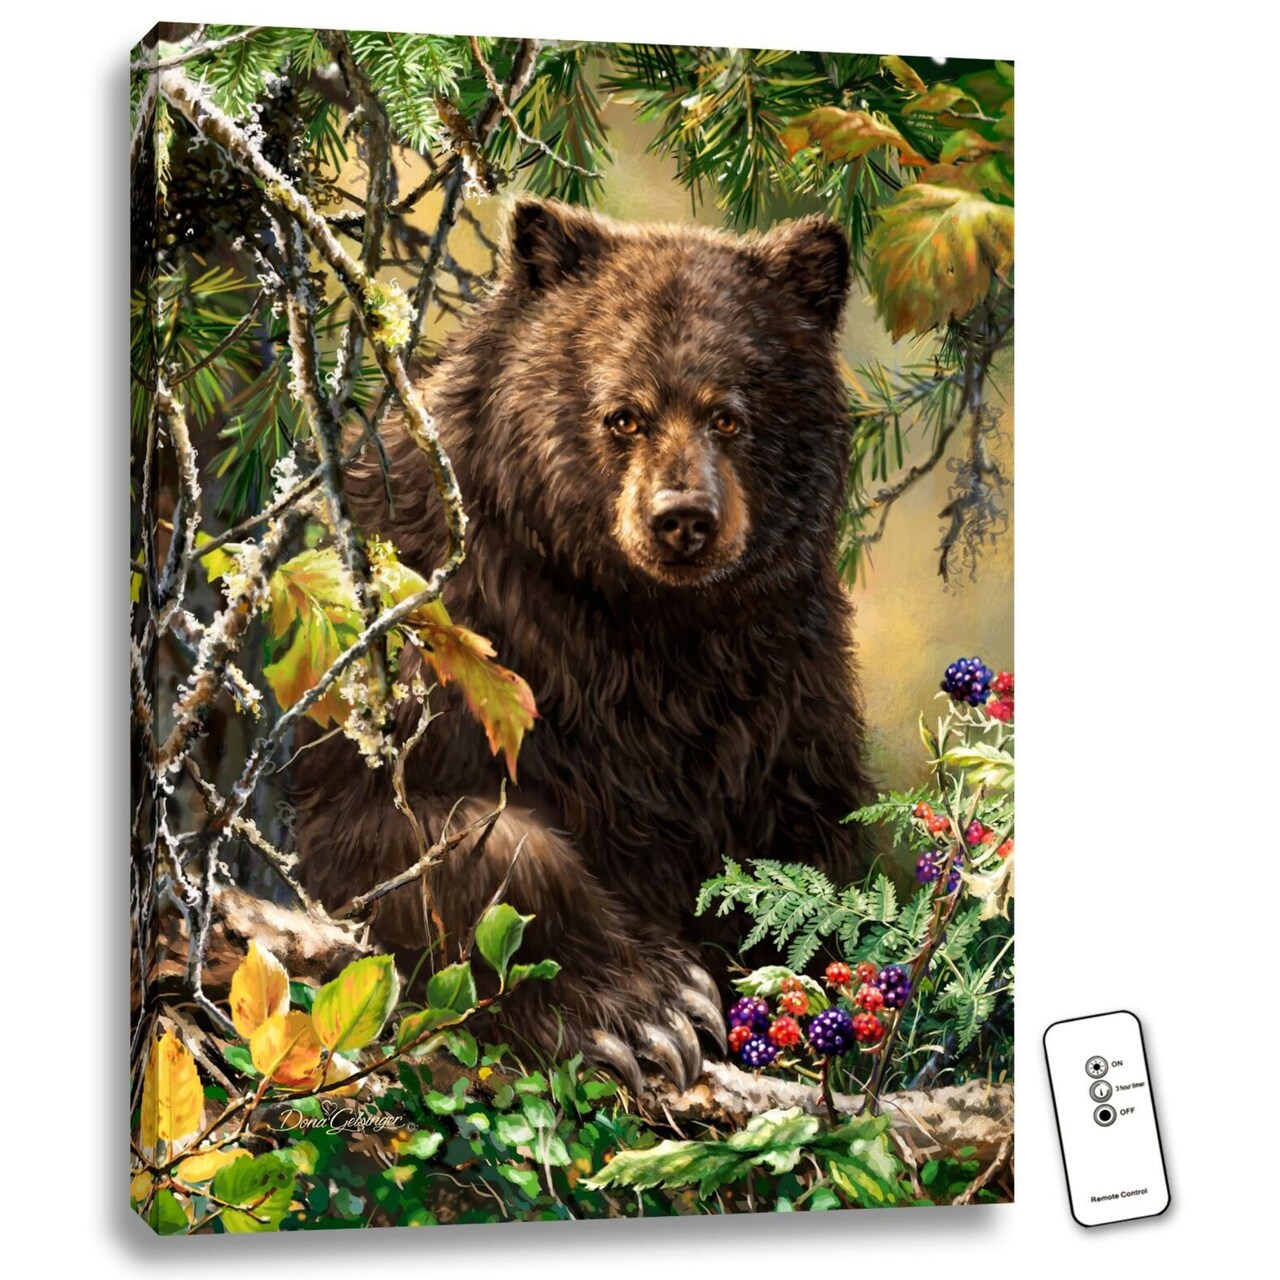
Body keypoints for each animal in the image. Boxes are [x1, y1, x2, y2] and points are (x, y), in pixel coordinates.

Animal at [291, 198, 875, 1091]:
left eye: (729, 416)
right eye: (623, 414)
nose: (682, 518)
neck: (648, 627)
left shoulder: (783, 688)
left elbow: (814, 850)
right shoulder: (443, 648)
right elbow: (408, 836)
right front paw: (648, 1011)